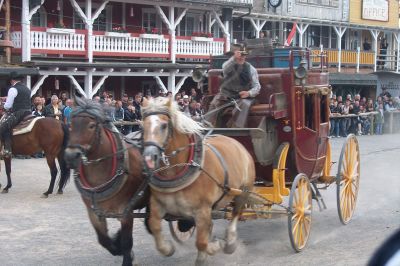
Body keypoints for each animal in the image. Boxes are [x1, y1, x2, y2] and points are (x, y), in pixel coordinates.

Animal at [64, 98, 148, 266]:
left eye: (91, 126)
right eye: (71, 125)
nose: (71, 156)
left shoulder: (126, 211)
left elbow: (127, 241)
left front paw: (126, 257)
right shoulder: (93, 212)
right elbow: (103, 239)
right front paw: (116, 246)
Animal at [142, 98, 256, 266]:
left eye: (163, 125)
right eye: (141, 125)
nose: (149, 157)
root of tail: (237, 143)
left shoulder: (202, 210)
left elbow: (201, 242)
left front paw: (211, 249)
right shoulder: (157, 204)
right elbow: (154, 226)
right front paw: (168, 248)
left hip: (243, 191)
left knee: (236, 213)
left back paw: (229, 242)